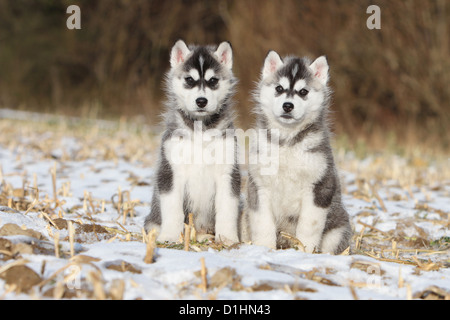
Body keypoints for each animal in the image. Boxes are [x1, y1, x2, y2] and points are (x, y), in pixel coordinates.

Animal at [146, 41, 241, 244]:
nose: (201, 101)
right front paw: (170, 236)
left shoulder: (228, 171)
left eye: (213, 81)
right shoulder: (171, 170)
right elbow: (172, 208)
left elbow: (227, 208)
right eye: (190, 80)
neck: (200, 129)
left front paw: (227, 238)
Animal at [246, 51, 352, 254]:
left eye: (303, 92)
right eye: (279, 88)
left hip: (338, 229)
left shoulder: (319, 186)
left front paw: (305, 250)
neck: (287, 141)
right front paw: (264, 248)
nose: (288, 105)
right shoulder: (259, 186)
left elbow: (309, 226)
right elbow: (262, 224)